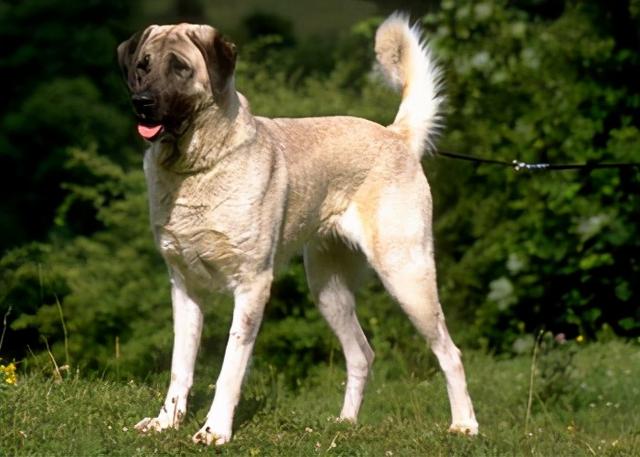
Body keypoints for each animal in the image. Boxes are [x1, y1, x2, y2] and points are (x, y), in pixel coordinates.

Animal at [117, 14, 478, 446]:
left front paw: (214, 430)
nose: (141, 103)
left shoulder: (252, 285)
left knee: (451, 353)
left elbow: (230, 368)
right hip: (327, 289)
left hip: (406, 275)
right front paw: (166, 422)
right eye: (143, 66)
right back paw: (345, 423)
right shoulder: (184, 288)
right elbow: (180, 367)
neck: (196, 167)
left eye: (180, 68)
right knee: (361, 353)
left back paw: (465, 424)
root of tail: (394, 135)